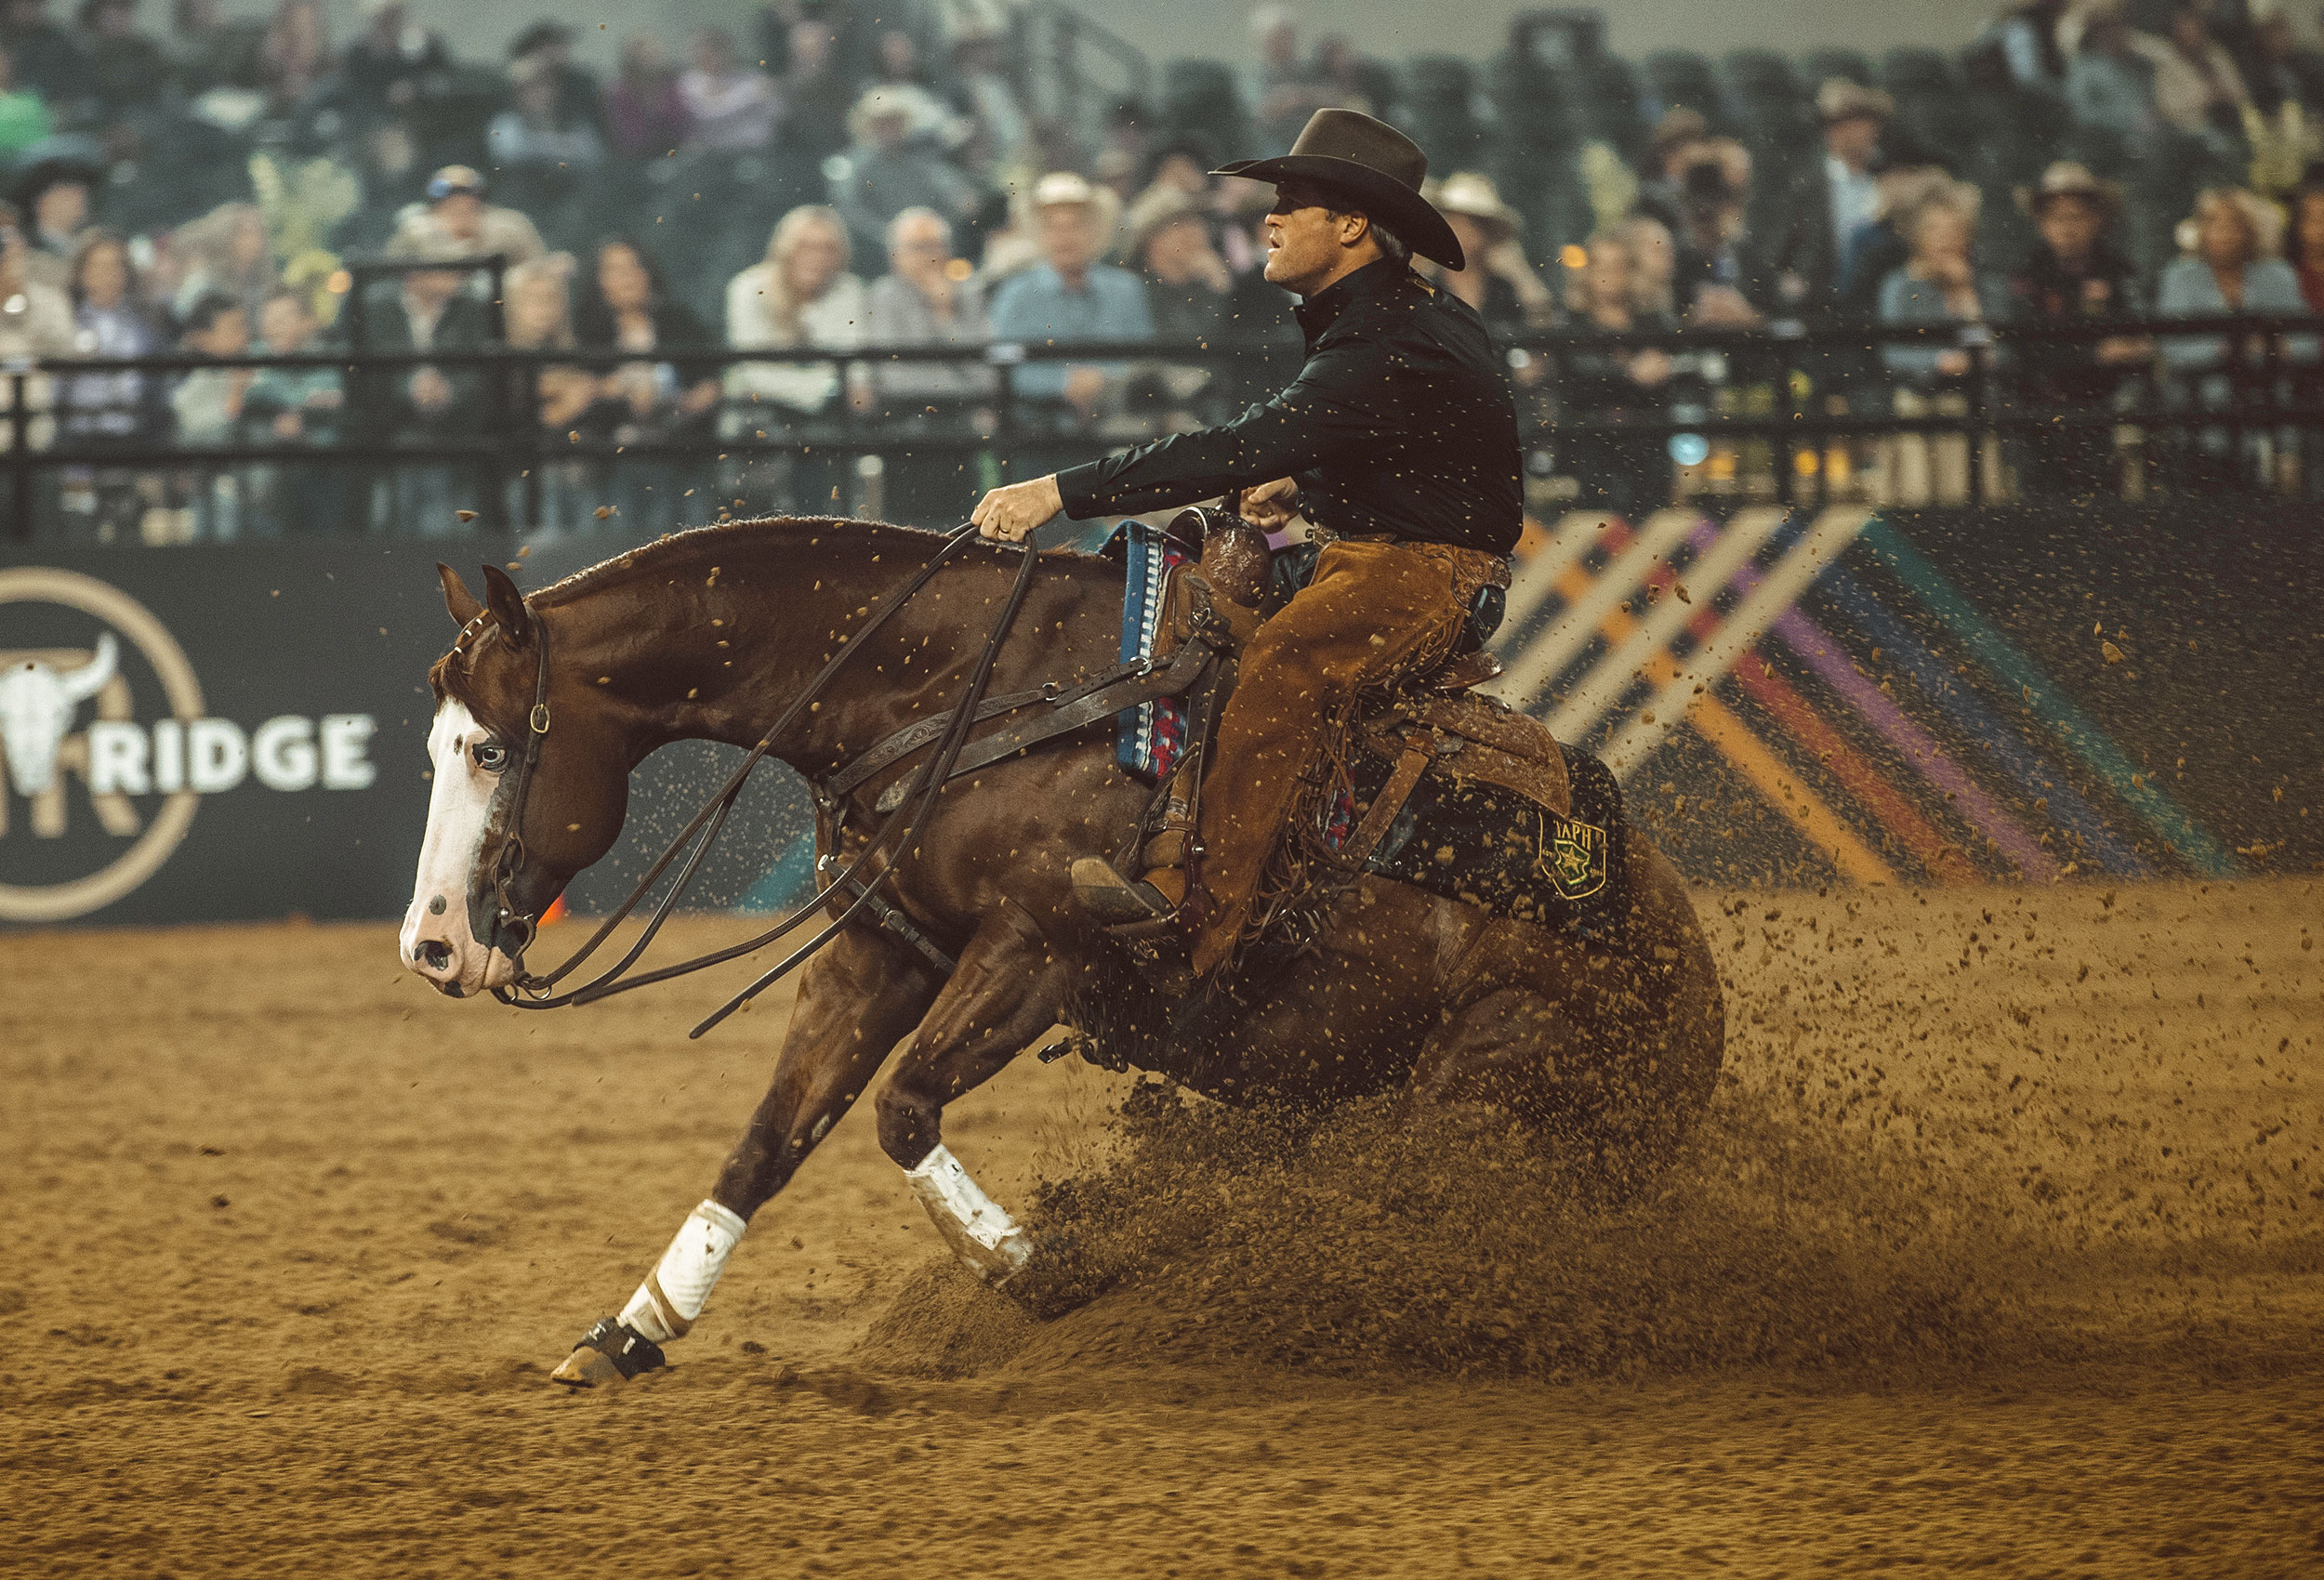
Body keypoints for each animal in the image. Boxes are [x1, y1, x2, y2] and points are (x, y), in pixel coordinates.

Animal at [399, 517, 1726, 1386]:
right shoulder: (881, 949)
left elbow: (904, 1111)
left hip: (1490, 1068)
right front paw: (634, 1327)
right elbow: (770, 1138)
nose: (431, 945)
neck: (970, 687)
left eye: (488, 748)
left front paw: (1048, 1273)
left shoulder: (1037, 949)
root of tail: (1699, 1006)